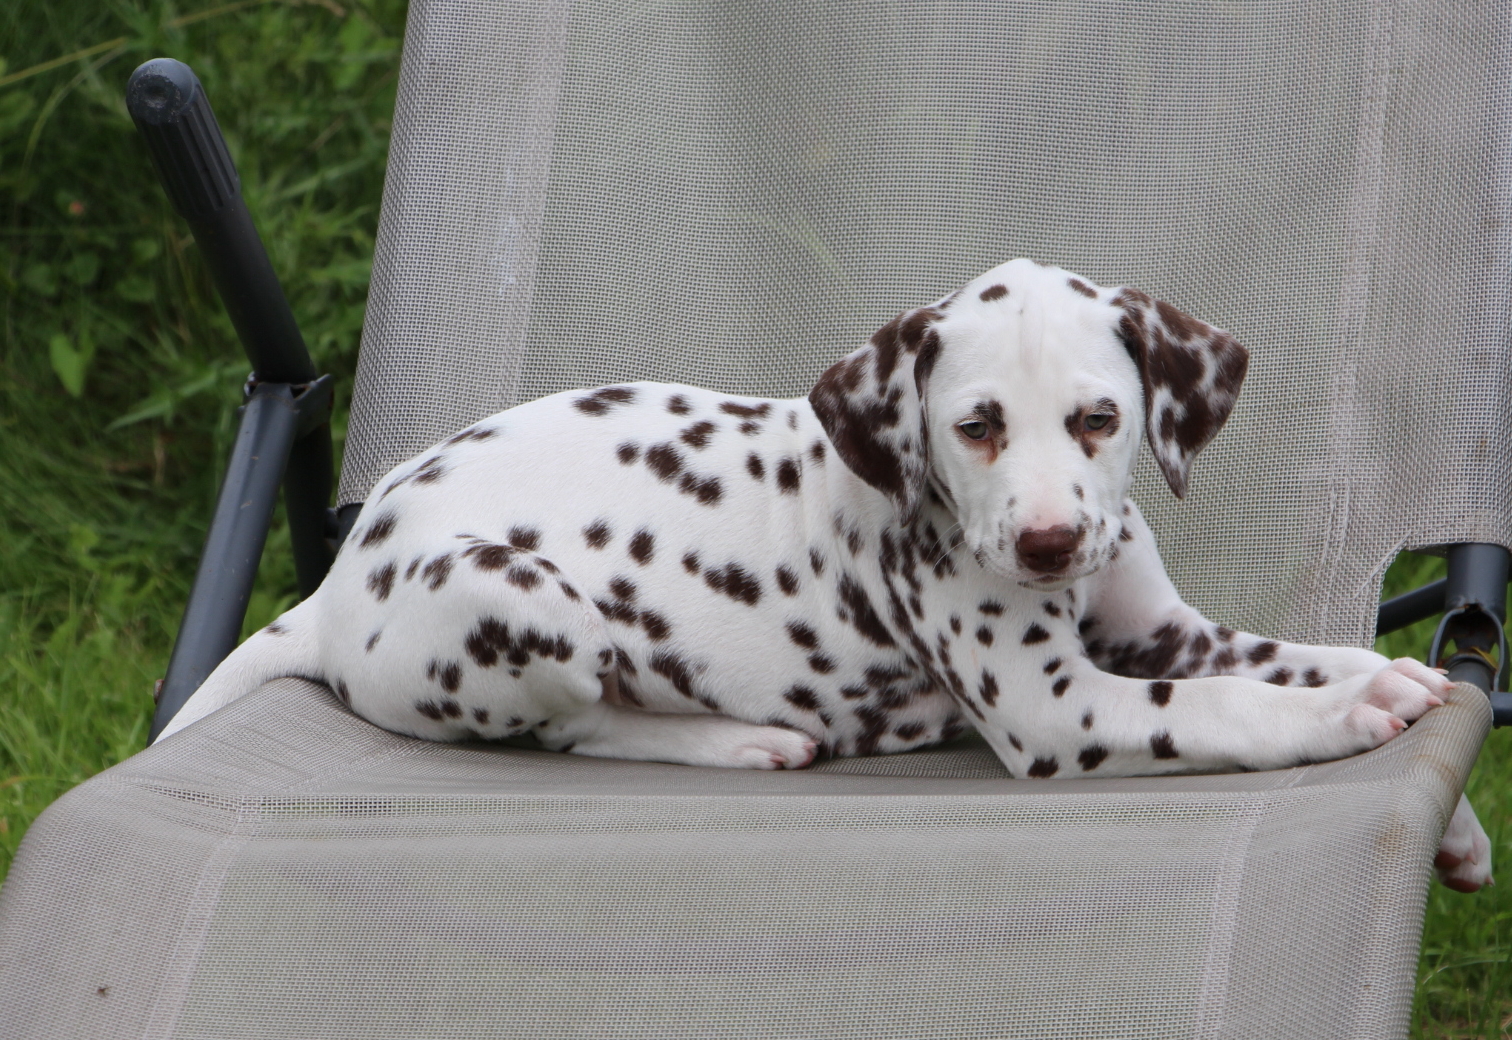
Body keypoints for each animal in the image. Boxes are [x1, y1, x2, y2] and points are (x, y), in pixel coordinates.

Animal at [160, 258, 1491, 891]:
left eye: (1101, 419)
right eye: (976, 425)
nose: (1048, 543)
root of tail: (338, 586)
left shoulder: (1162, 630)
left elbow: (1304, 654)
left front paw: (1435, 766)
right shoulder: (1063, 705)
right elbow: (1233, 705)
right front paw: (1353, 711)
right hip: (531, 607)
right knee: (582, 725)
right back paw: (742, 739)